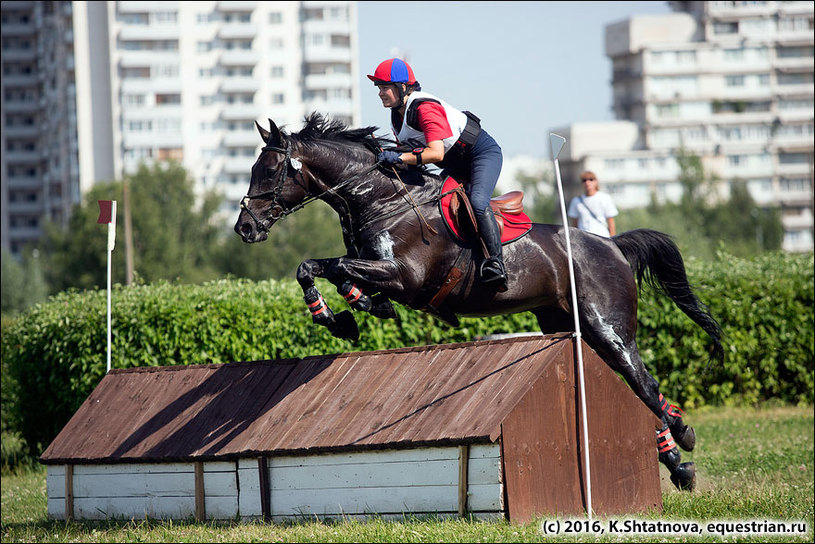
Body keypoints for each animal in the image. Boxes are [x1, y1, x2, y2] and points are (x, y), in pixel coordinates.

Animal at [233, 112, 724, 490]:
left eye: (270, 171)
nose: (245, 228)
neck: (380, 199)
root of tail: (612, 245)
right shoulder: (376, 270)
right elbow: (316, 269)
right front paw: (346, 317)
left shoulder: (404, 276)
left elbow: (333, 269)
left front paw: (348, 315)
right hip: (565, 326)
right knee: (634, 385)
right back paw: (677, 449)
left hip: (607, 328)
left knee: (644, 384)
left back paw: (681, 449)